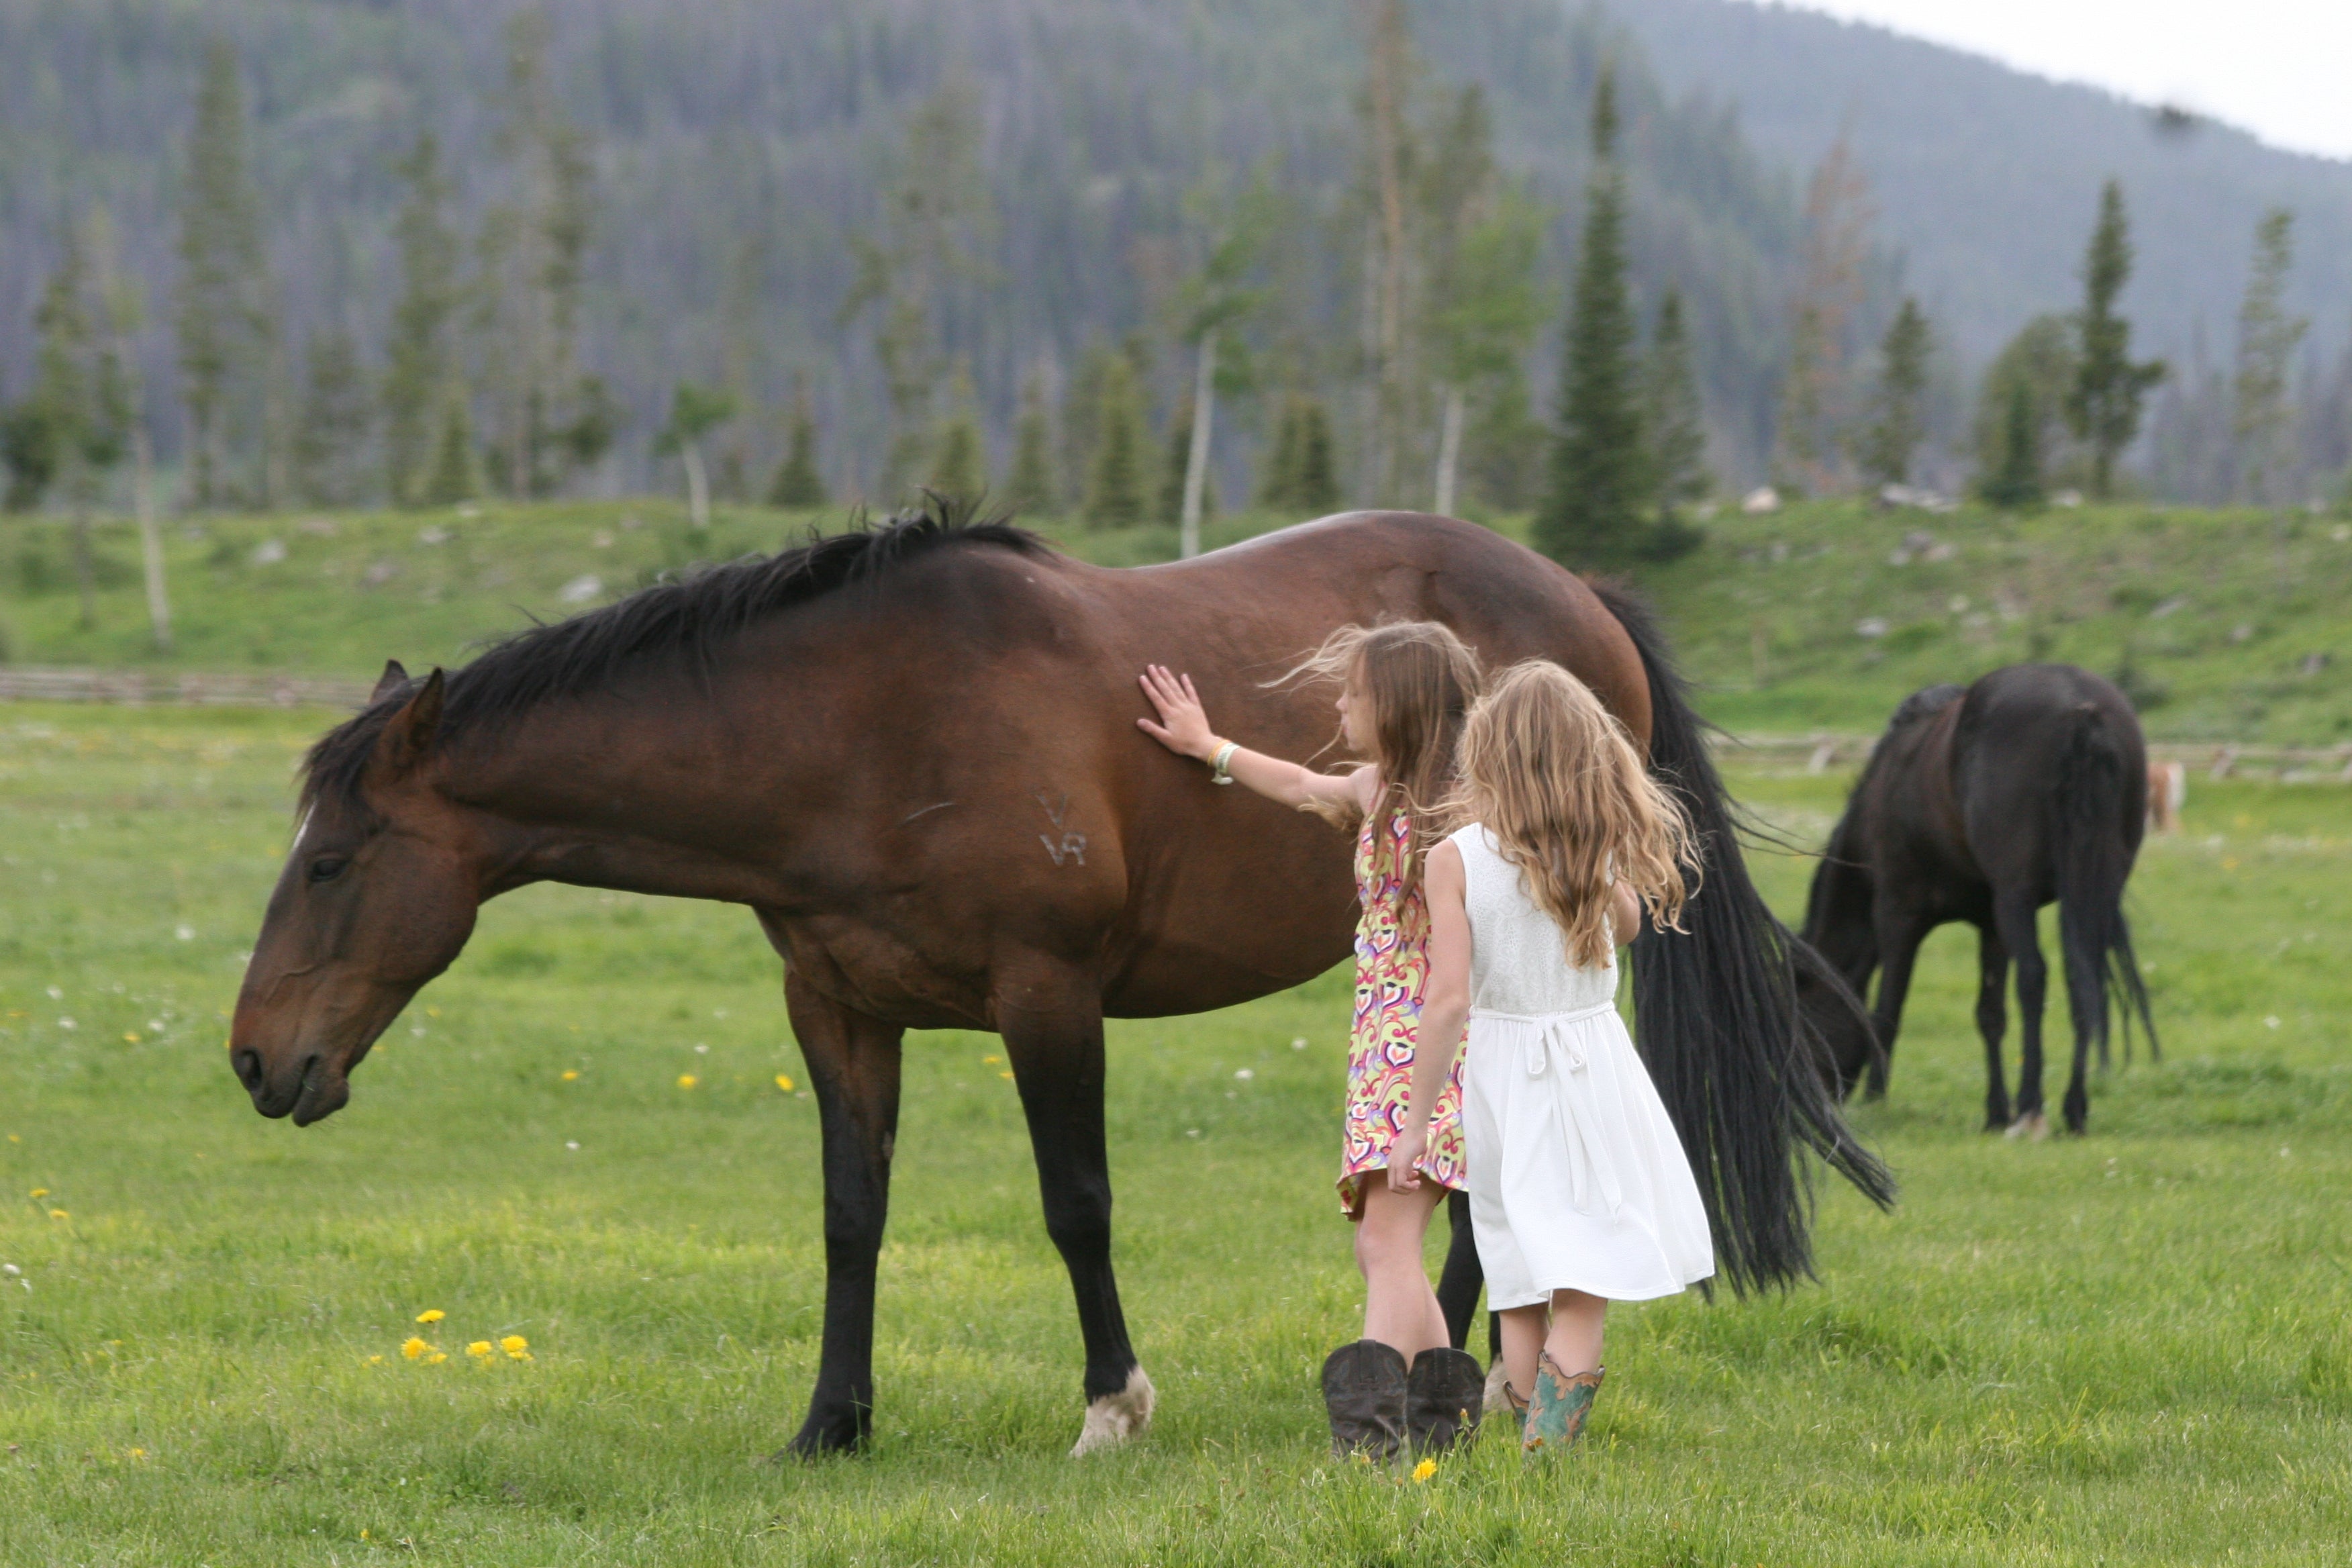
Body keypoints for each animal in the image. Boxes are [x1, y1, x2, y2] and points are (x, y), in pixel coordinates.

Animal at [230, 501, 1890, 1458]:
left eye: (332, 863)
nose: (256, 1058)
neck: (861, 725)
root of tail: (1580, 593)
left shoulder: (1047, 997)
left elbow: (1074, 1204)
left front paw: (1111, 1404)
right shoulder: (837, 1010)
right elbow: (849, 1217)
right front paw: (832, 1425)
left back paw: (1477, 1389)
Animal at [1801, 663, 2159, 1136]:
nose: (1817, 1102)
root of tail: (2083, 712)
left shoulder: (1897, 912)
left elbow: (1888, 1009)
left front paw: (1875, 1100)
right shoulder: (1990, 924)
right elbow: (1990, 1016)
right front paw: (1994, 1111)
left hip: (2016, 896)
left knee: (2034, 978)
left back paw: (2031, 1108)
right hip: (2088, 892)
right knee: (2083, 977)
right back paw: (2073, 1107)